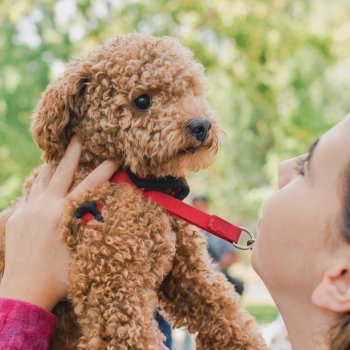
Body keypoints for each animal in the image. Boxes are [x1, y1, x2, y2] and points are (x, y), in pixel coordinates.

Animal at [0, 33, 266, 350]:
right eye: (142, 100)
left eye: (190, 89)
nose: (201, 125)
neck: (138, 184)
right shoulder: (113, 284)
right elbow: (137, 336)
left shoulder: (189, 273)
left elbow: (225, 313)